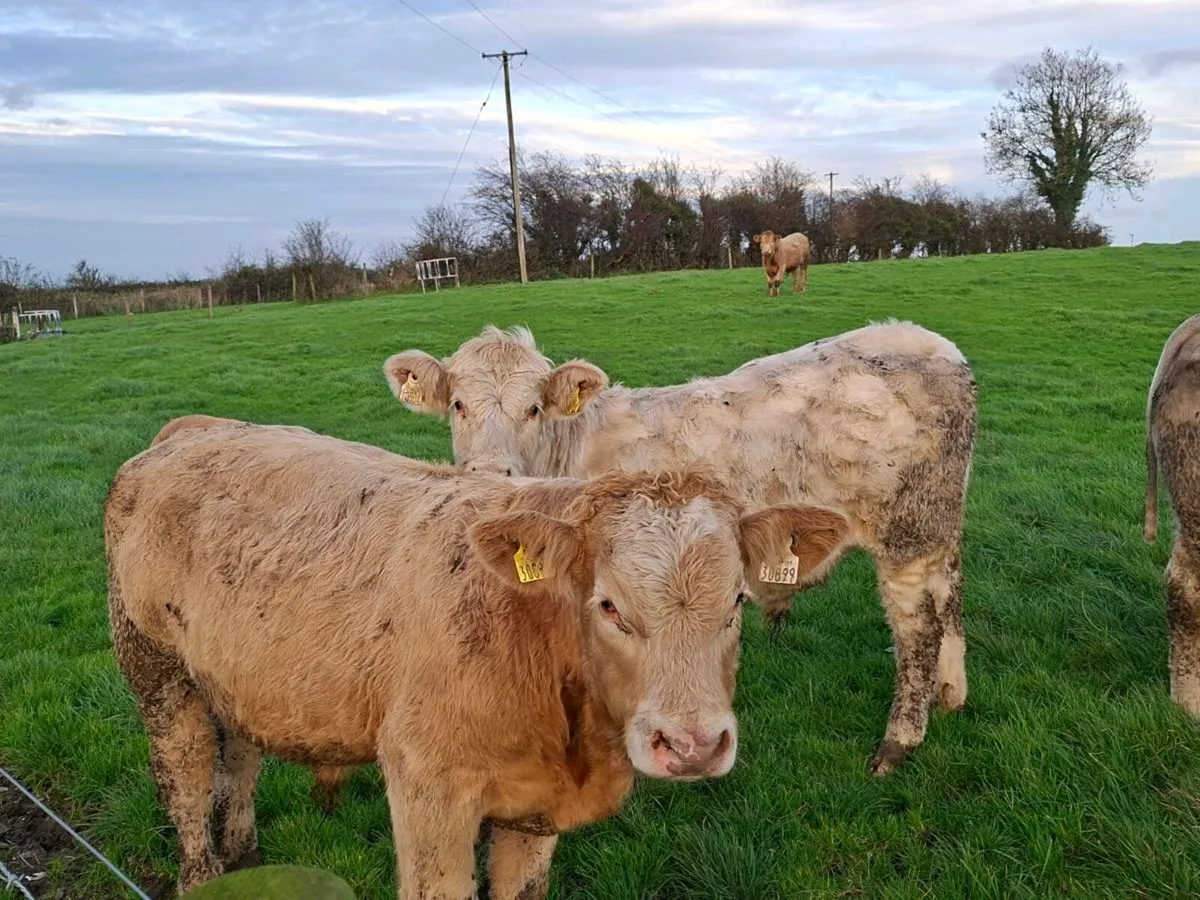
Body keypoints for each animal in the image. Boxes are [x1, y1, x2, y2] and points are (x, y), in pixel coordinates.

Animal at [106, 415, 849, 898]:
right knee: (186, 782)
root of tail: (190, 431)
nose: (693, 744)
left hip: (233, 678)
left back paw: (245, 855)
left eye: (738, 600)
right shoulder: (426, 788)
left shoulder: (534, 811)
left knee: (240, 760)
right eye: (608, 605)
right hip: (157, 672)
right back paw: (203, 870)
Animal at [383, 320, 977, 775]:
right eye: (458, 405)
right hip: (940, 526)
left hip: (907, 532)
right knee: (950, 595)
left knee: (917, 628)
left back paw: (899, 741)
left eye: (533, 409)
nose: (489, 473)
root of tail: (931, 344)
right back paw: (951, 694)